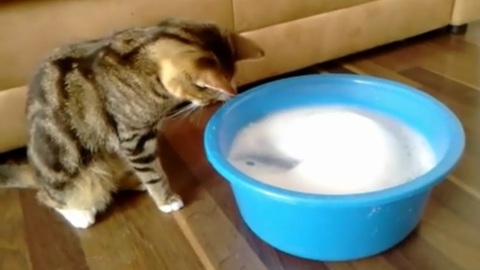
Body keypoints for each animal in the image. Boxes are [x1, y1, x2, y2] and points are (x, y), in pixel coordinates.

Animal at [0, 17, 264, 228]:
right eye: (206, 92)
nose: (228, 95)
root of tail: (35, 171)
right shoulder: (135, 140)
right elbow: (154, 174)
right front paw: (166, 200)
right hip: (68, 171)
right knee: (49, 196)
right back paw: (80, 214)